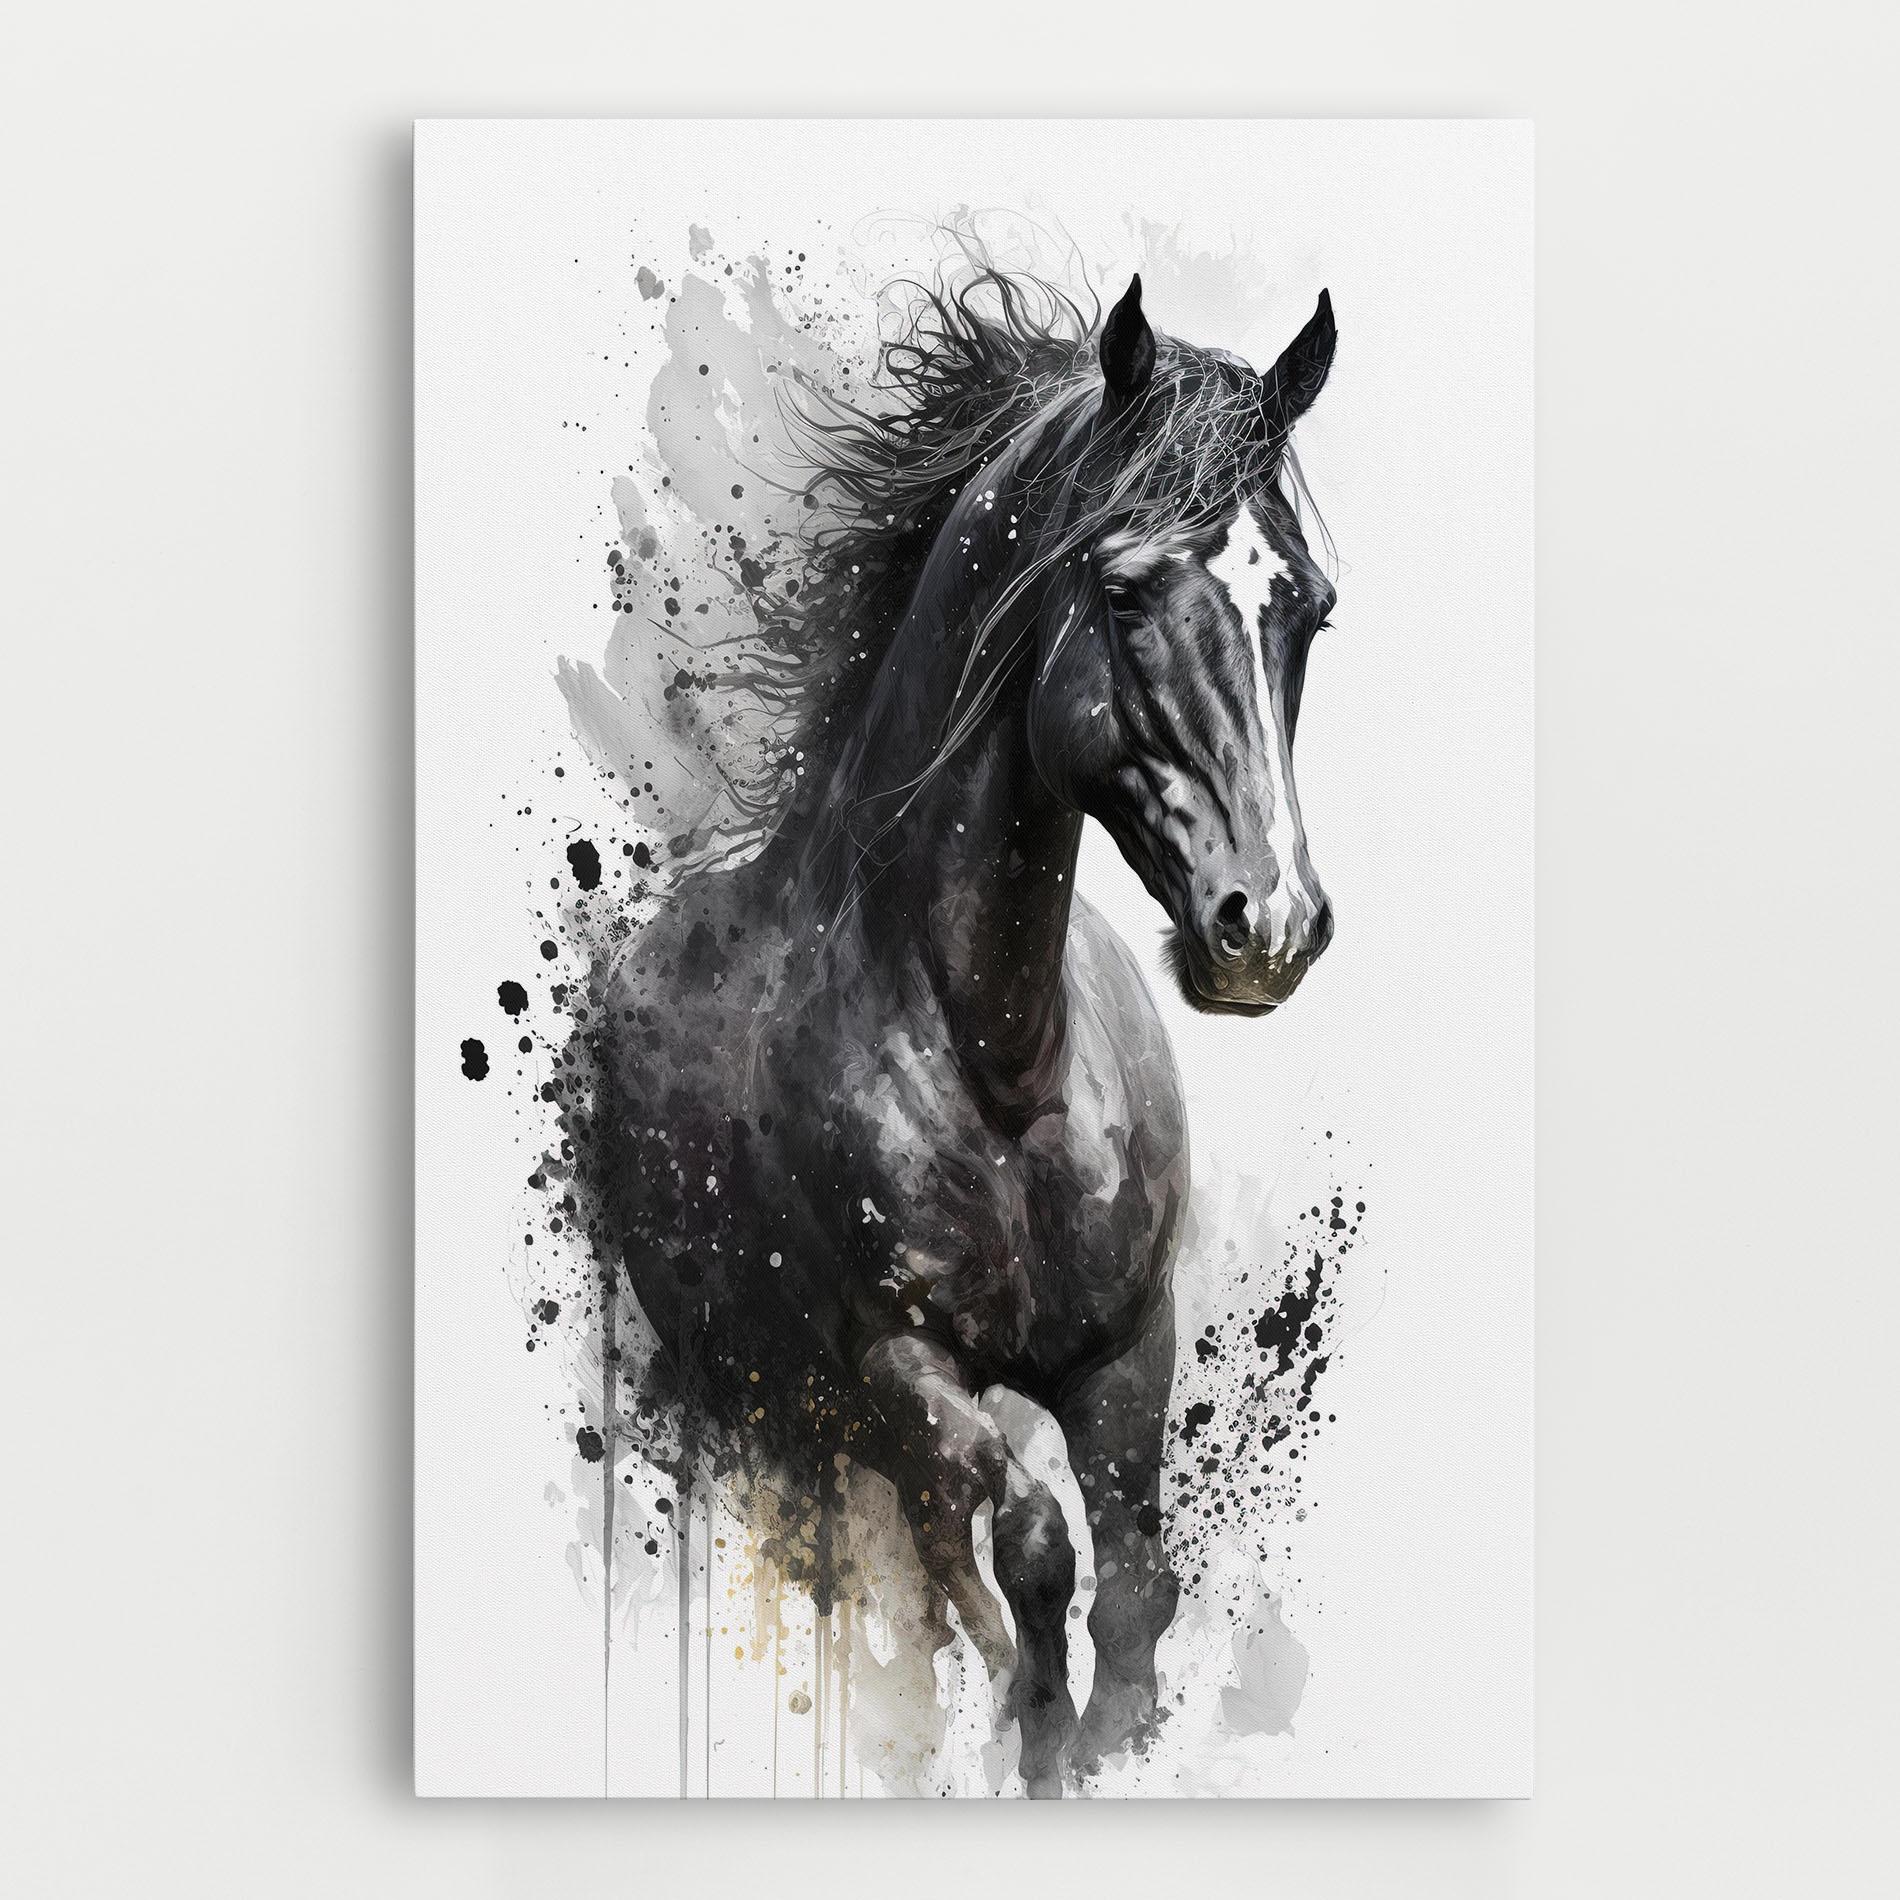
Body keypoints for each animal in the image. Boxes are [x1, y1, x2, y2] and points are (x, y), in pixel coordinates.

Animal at [563, 268, 1339, 1796]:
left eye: (1312, 610)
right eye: (1122, 587)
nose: (1267, 926)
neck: (1001, 1061)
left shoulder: (1125, 1356)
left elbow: (1136, 1596)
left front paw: (1099, 1738)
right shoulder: (899, 1368)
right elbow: (1037, 1549)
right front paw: (1035, 1741)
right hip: (764, 1400)